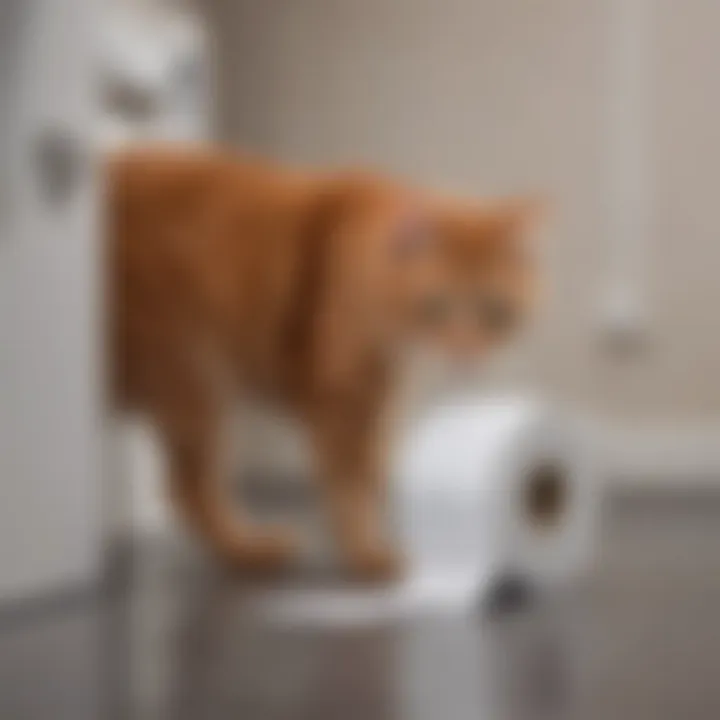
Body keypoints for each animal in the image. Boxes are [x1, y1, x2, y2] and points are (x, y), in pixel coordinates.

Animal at [108, 146, 540, 580]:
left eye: (494, 312)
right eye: (435, 306)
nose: (466, 352)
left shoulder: (376, 398)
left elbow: (374, 470)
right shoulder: (339, 397)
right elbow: (352, 484)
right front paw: (366, 552)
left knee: (185, 489)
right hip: (192, 379)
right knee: (189, 489)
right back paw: (252, 551)